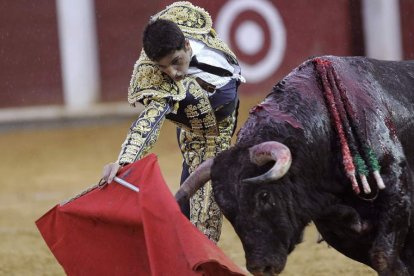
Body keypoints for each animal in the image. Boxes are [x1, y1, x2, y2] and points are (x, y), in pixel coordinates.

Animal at [175, 55, 414, 274]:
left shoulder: (397, 195)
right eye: (226, 208)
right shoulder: (336, 228)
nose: (260, 267)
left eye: (264, 195)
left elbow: (383, 257)